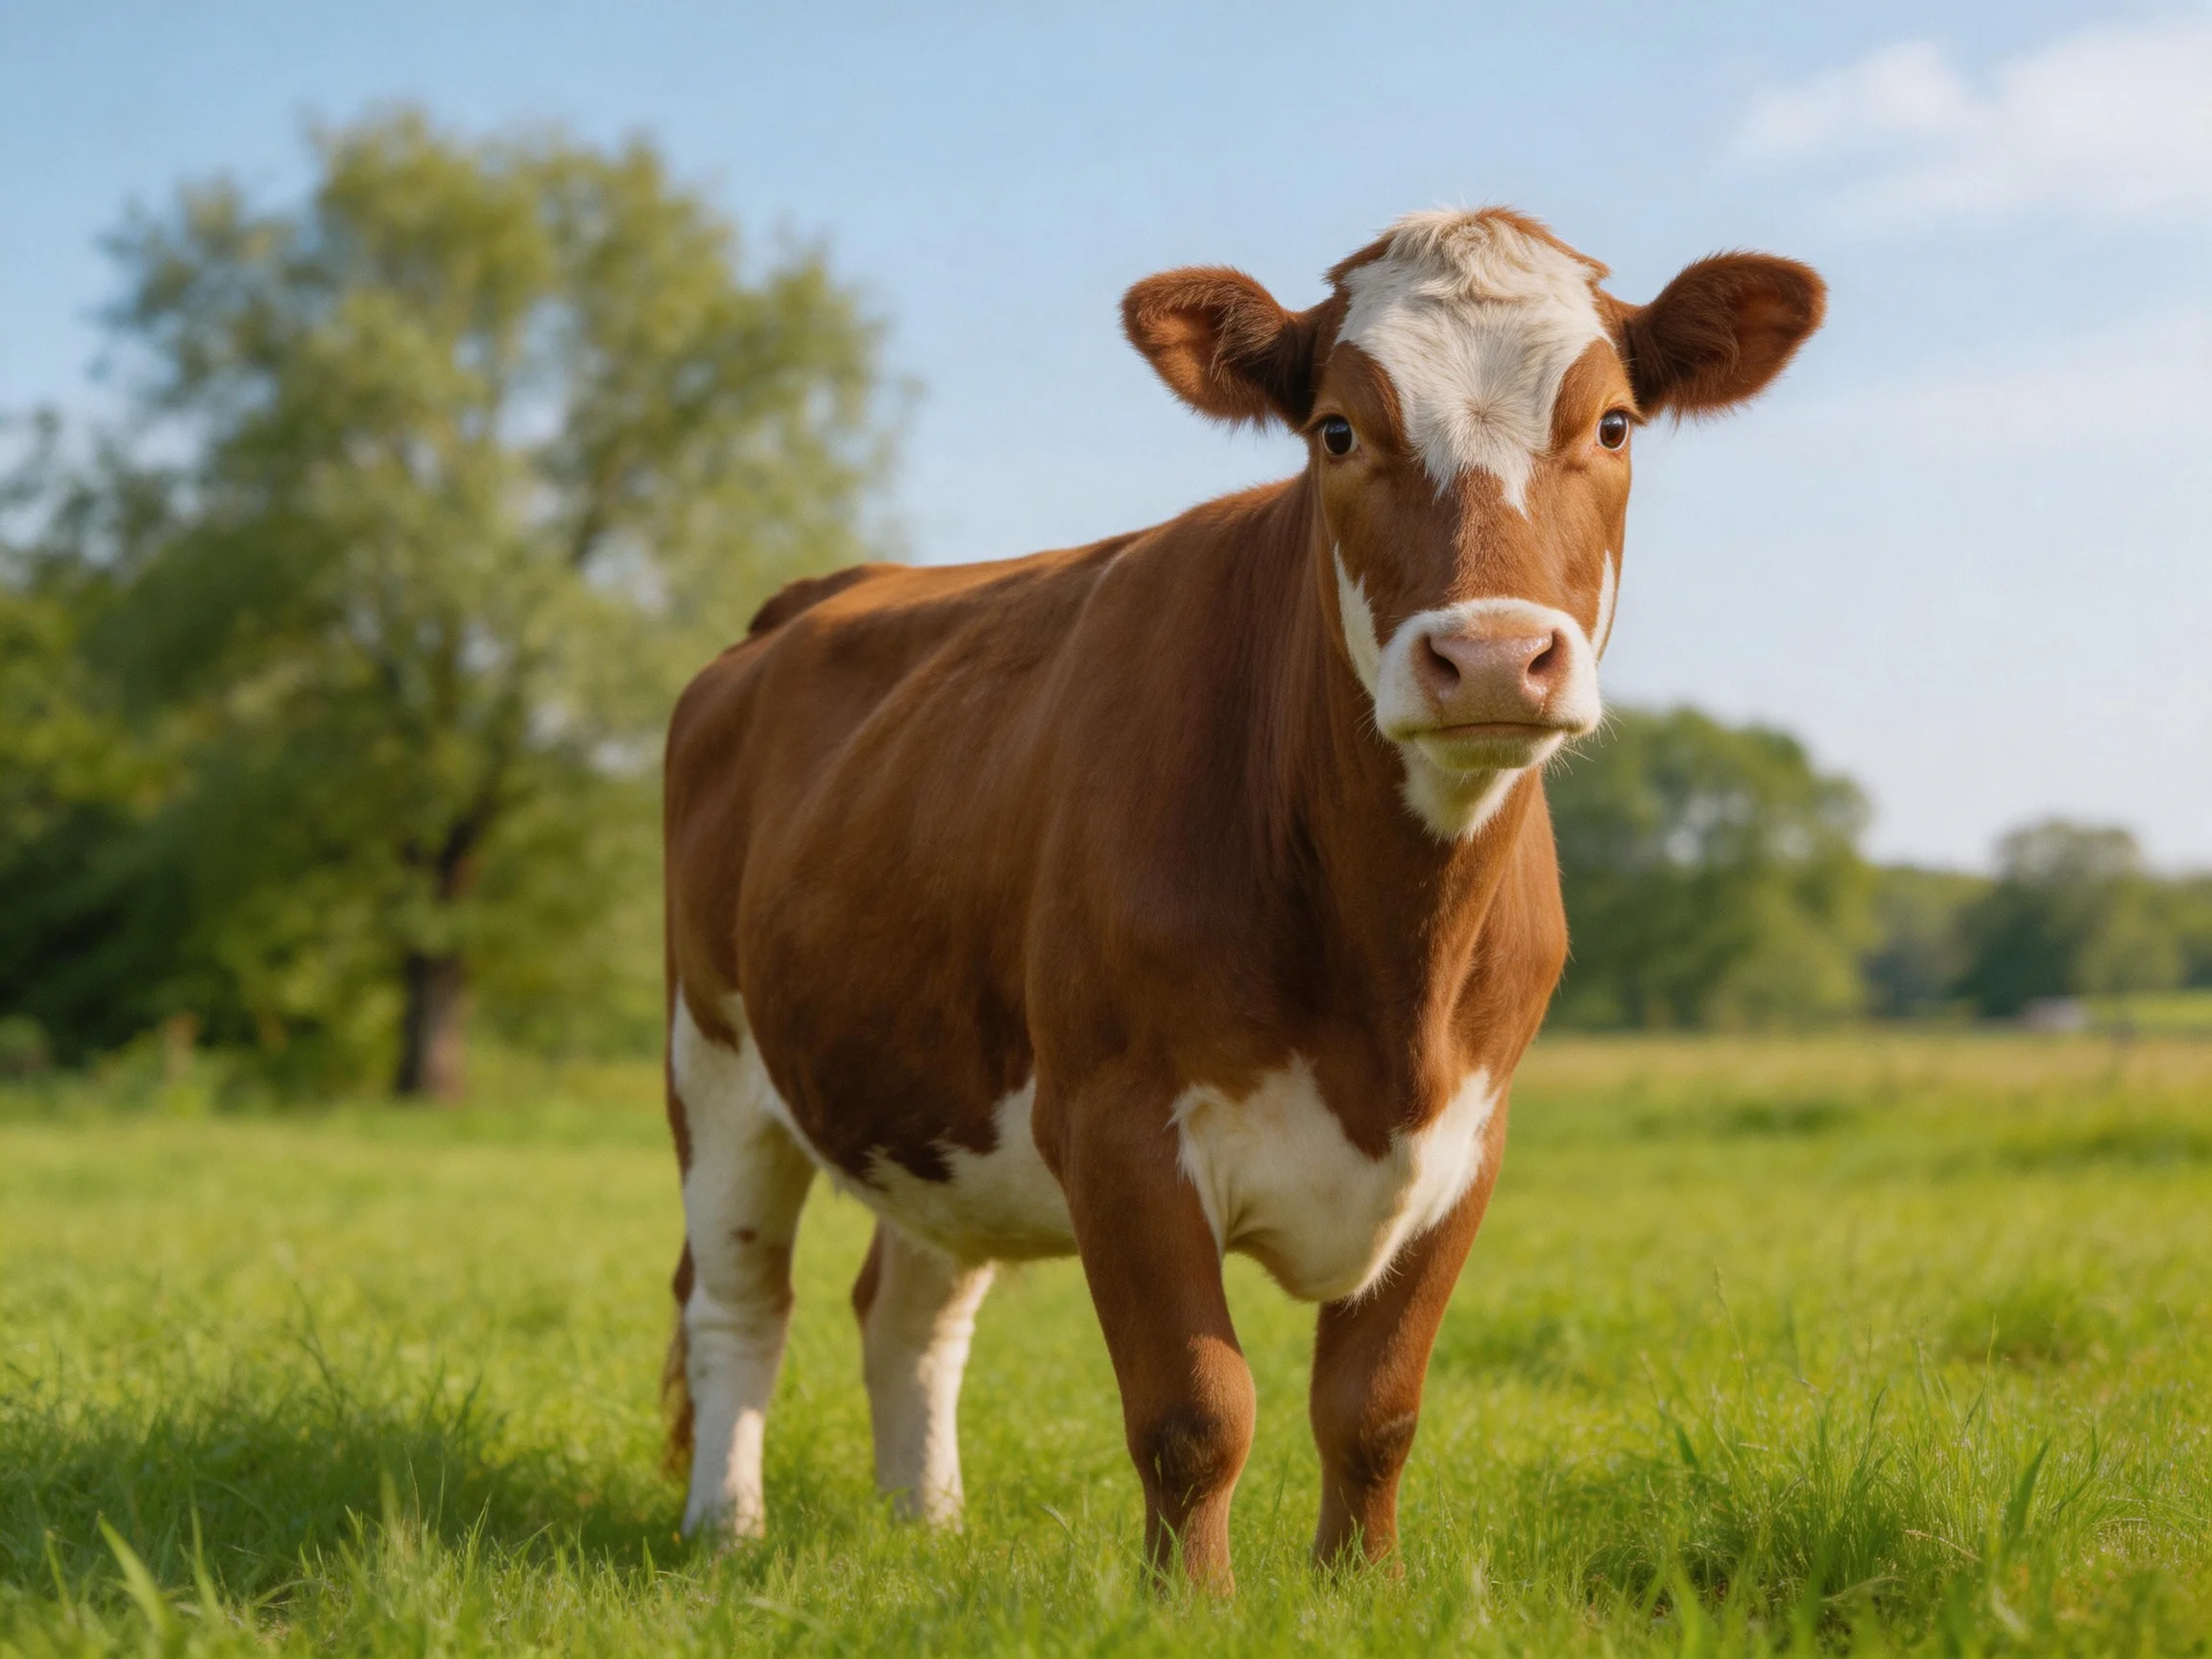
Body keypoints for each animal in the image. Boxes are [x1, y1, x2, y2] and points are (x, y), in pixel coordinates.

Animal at [659, 207, 1824, 1589]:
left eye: (1613, 425)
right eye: (1337, 430)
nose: (1490, 655)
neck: (1392, 975)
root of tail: (810, 600)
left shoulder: (1468, 1140)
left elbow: (1374, 1408)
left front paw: (1360, 1589)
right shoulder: (1115, 1122)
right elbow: (1196, 1409)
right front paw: (1192, 1605)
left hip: (933, 1089)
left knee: (909, 1308)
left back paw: (927, 1526)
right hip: (716, 1059)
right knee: (738, 1299)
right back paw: (723, 1532)